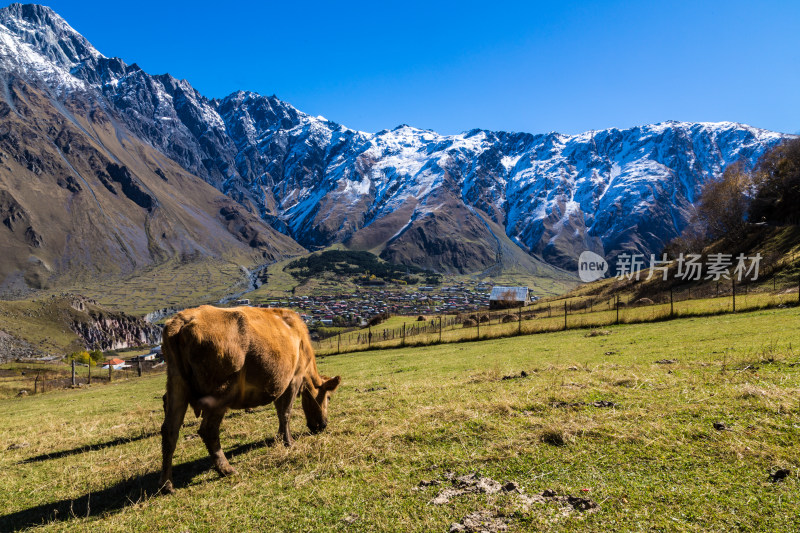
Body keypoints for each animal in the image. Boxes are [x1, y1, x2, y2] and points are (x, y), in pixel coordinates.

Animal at [159, 306, 340, 492]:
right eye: (328, 398)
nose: (323, 425)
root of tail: (183, 319)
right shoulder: (294, 379)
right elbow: (286, 413)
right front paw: (289, 442)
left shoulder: (279, 385)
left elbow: (280, 412)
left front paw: (279, 437)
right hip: (220, 392)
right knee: (208, 430)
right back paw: (226, 469)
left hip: (176, 385)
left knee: (170, 431)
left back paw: (166, 484)